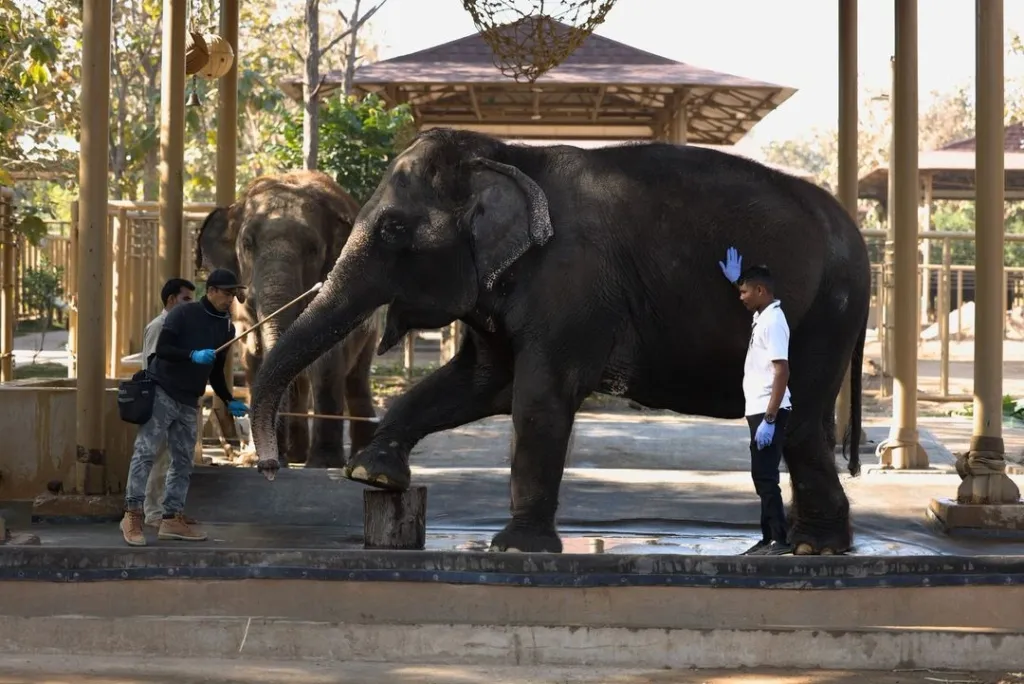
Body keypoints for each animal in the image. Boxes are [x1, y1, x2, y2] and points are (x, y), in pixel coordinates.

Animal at [195, 167, 380, 466]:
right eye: (247, 244)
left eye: (313, 249)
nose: (272, 459)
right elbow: (254, 356)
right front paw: (258, 458)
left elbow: (327, 364)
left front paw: (324, 463)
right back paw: (296, 455)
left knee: (356, 377)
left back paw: (356, 455)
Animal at [247, 129, 872, 557]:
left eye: (395, 229)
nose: (271, 468)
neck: (508, 155)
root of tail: (856, 234)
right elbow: (475, 383)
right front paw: (373, 475)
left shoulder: (571, 282)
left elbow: (537, 397)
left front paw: (515, 548)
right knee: (803, 427)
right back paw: (810, 544)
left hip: (823, 314)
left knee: (798, 421)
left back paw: (811, 548)